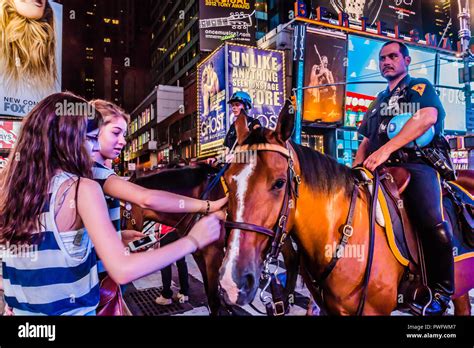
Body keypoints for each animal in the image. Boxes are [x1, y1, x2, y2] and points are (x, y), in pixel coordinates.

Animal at [122, 165, 300, 316]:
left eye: (124, 211)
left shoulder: (213, 255)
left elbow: (214, 299)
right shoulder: (199, 255)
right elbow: (208, 292)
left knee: (292, 260)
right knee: (292, 259)